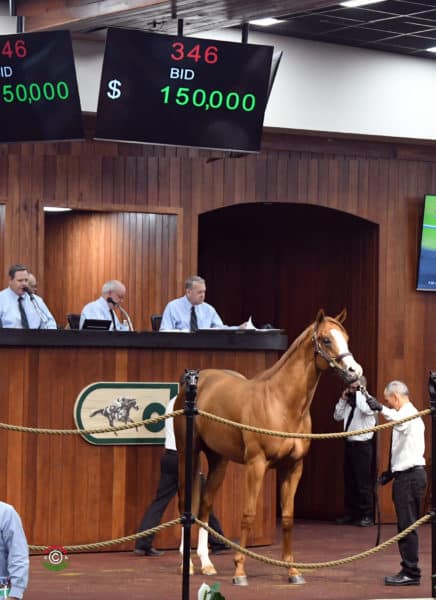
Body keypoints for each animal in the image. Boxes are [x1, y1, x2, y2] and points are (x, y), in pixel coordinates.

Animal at [174, 310, 362, 584]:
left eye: (346, 338)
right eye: (326, 340)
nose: (354, 371)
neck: (282, 403)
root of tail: (196, 382)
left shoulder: (293, 467)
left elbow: (288, 518)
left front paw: (293, 571)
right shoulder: (256, 464)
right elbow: (248, 514)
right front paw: (240, 571)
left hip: (219, 459)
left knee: (206, 503)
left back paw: (206, 564)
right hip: (187, 454)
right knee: (184, 503)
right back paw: (186, 563)